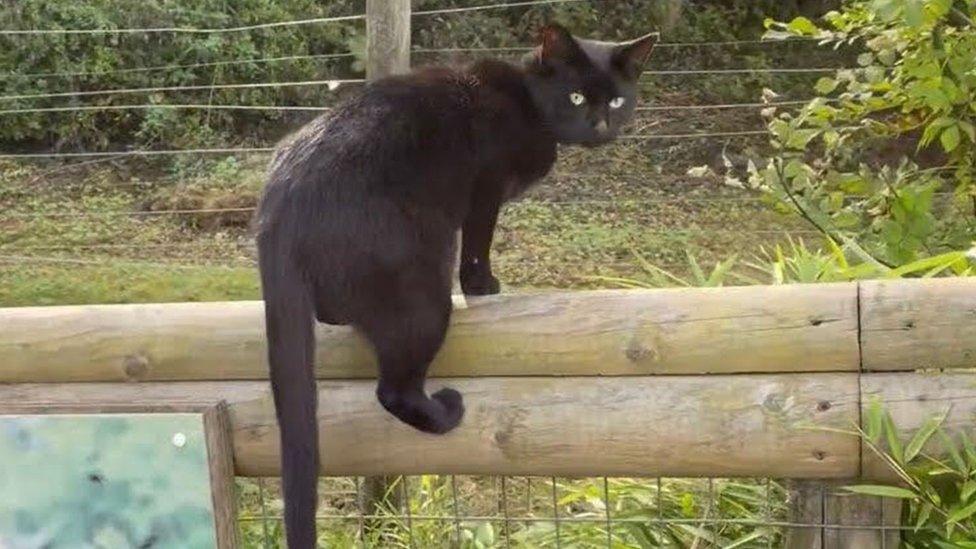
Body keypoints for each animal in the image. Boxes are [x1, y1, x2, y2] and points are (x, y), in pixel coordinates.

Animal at [255, 23, 660, 544]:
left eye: (616, 100)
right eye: (575, 96)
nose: (601, 125)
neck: (526, 99)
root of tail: (279, 206)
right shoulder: (486, 189)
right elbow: (479, 245)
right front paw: (484, 286)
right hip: (423, 291)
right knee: (393, 390)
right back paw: (444, 411)